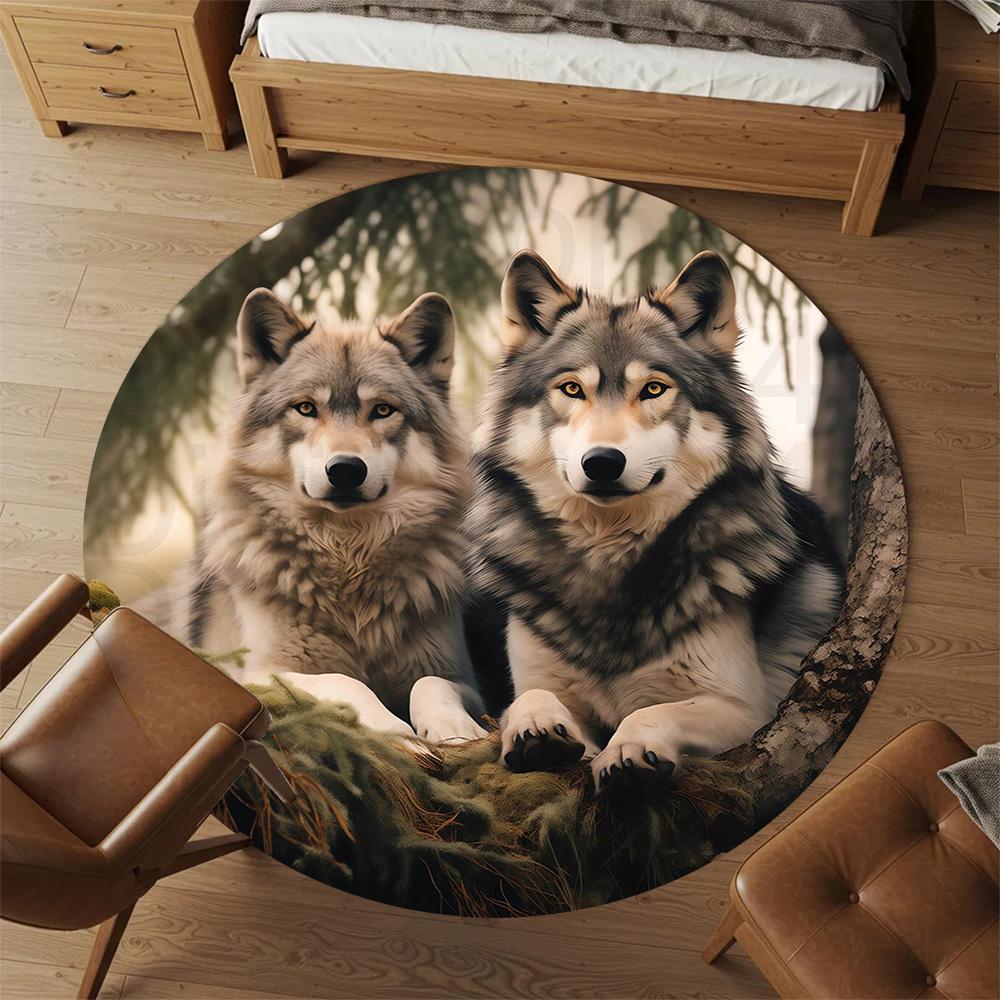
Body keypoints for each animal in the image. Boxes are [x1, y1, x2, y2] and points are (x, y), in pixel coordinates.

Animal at [144, 288, 486, 744]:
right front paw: (393, 731)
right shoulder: (257, 673)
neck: (347, 559)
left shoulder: (462, 677)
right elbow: (346, 682)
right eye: (306, 408)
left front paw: (455, 731)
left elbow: (430, 684)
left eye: (382, 410)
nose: (345, 469)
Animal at [468, 249, 844, 791]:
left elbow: (647, 713)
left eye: (653, 389)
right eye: (571, 389)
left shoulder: (749, 710)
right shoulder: (541, 682)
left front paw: (628, 754)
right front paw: (537, 730)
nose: (602, 462)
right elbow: (528, 699)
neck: (608, 557)